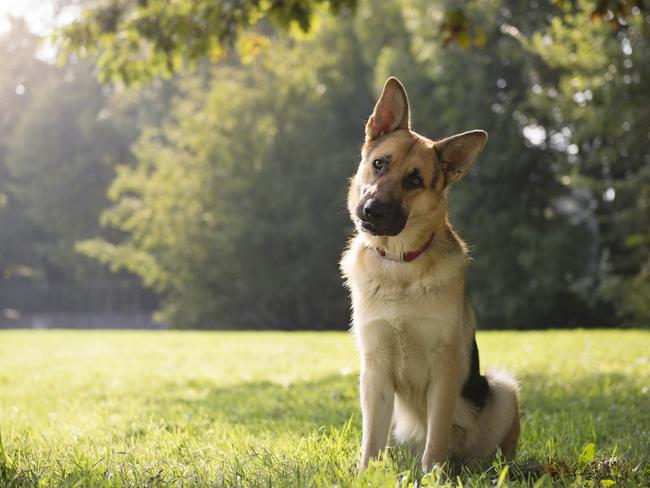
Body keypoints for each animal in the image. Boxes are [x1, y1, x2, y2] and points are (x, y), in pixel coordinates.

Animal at [340, 77, 516, 472]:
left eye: (415, 180)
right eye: (379, 164)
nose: (370, 211)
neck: (399, 264)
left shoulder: (444, 371)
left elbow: (436, 435)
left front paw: (433, 474)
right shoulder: (374, 371)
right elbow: (371, 438)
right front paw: (366, 473)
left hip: (503, 389)